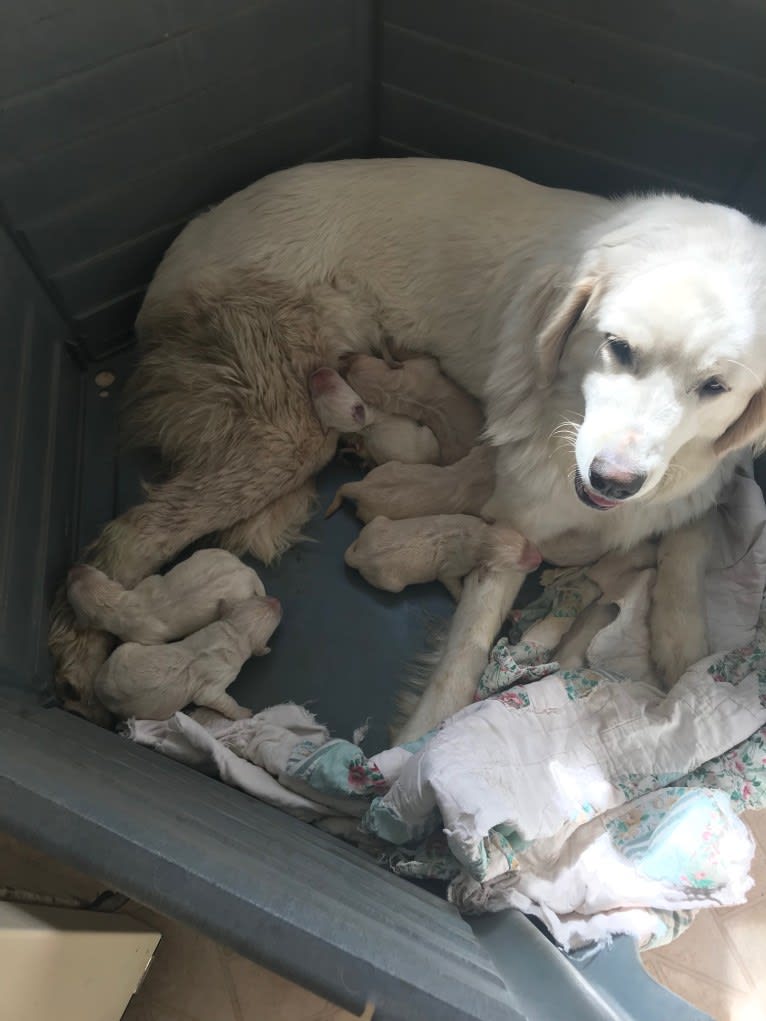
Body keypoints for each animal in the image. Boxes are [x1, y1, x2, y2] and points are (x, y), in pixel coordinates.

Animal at [66, 551, 263, 645]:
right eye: (88, 568)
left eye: (70, 587)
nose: (72, 567)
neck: (118, 604)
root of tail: (247, 571)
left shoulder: (145, 638)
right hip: (216, 554)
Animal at [93, 592, 281, 718]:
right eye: (276, 618)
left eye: (257, 598)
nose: (276, 600)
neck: (233, 631)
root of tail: (99, 686)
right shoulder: (218, 679)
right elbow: (213, 698)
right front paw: (243, 713)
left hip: (125, 650)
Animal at [345, 514, 543, 600]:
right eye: (518, 563)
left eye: (526, 541)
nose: (540, 559)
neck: (478, 538)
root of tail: (360, 555)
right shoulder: (456, 565)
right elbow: (448, 579)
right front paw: (462, 595)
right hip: (389, 582)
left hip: (376, 523)